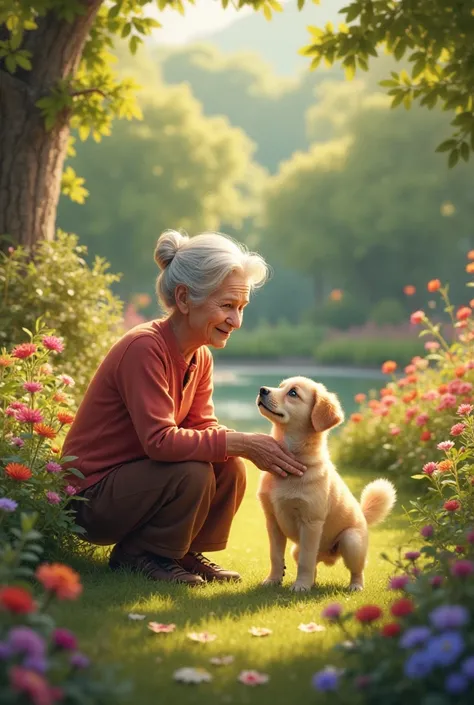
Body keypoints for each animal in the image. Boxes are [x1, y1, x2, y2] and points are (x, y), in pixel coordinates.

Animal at [256, 376, 396, 592]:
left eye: (293, 393)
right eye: (280, 387)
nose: (262, 390)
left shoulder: (311, 522)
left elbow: (306, 560)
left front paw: (300, 587)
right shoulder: (272, 521)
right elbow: (276, 556)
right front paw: (273, 580)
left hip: (351, 541)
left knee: (356, 569)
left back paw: (355, 586)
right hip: (296, 549)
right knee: (313, 564)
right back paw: (311, 582)